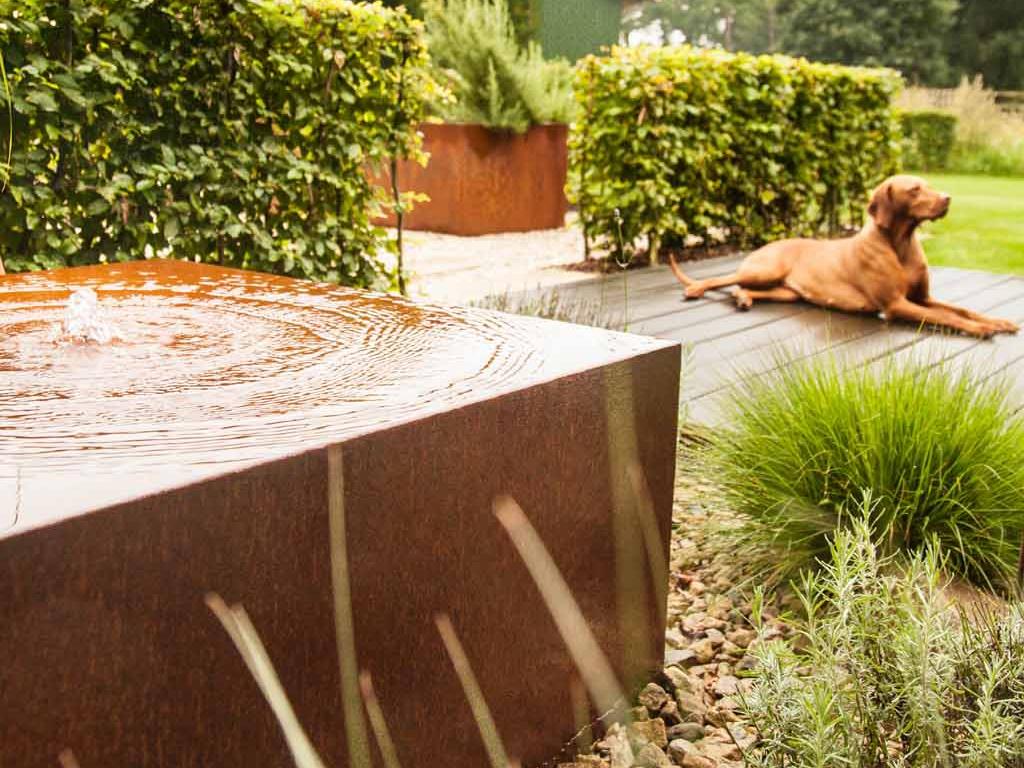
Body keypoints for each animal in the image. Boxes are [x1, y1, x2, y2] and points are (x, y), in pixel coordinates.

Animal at [669, 175, 1019, 338]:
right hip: (765, 270)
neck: (901, 244)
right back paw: (695, 289)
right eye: (915, 189)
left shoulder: (923, 298)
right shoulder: (896, 305)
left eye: (928, 185)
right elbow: (949, 317)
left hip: (787, 293)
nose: (948, 199)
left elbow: (961, 308)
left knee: (741, 289)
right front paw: (979, 329)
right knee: (723, 279)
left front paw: (997, 321)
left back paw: (744, 299)